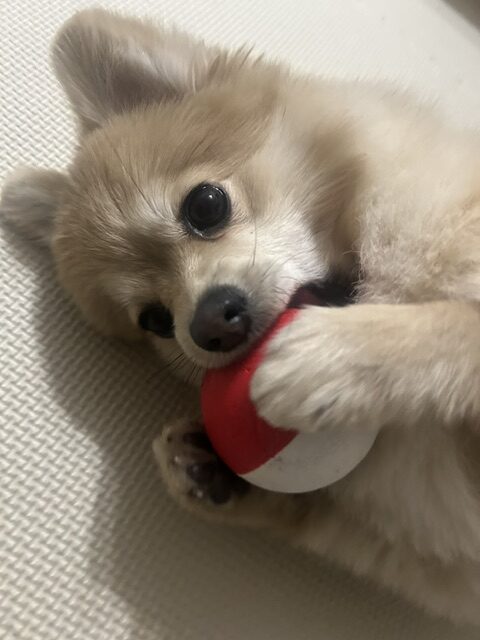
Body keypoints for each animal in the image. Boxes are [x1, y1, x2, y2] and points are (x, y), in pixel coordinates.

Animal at [3, 8, 480, 625]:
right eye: (155, 321)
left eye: (206, 205)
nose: (208, 323)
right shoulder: (444, 559)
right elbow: (348, 533)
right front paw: (212, 469)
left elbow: (461, 325)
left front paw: (334, 361)